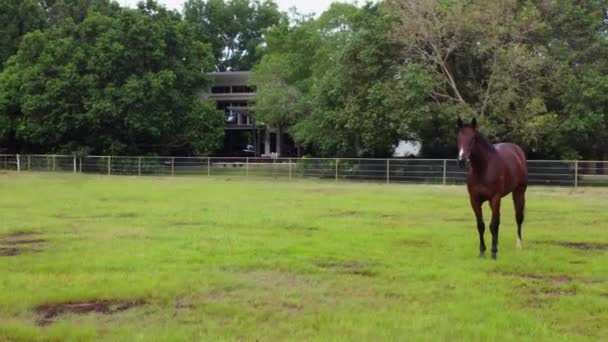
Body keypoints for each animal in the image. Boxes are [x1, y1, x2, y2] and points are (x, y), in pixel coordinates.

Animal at [456, 117, 528, 260]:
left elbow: (493, 225)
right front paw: (482, 251)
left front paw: (493, 252)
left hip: (519, 192)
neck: (483, 168)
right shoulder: (475, 200)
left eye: (473, 138)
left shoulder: (495, 198)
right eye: (458, 137)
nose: (462, 160)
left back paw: (518, 245)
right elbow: (481, 225)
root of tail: (517, 150)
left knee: (518, 217)